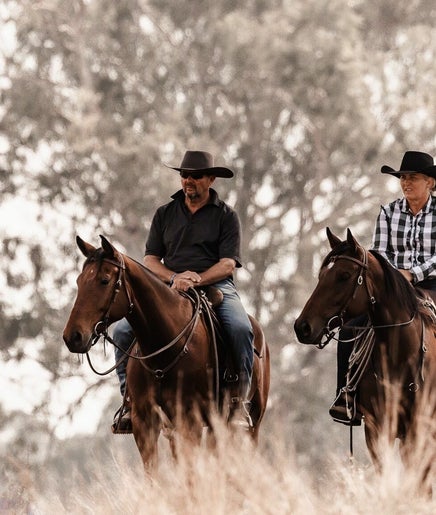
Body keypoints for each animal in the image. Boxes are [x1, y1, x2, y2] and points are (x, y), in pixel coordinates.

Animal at [61, 236, 270, 470]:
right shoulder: (145, 422)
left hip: (249, 424)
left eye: (104, 280)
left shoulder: (190, 419)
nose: (73, 336)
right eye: (79, 281)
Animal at [292, 228, 436, 478]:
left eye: (344, 275)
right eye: (321, 275)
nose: (302, 327)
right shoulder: (377, 430)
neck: (401, 358)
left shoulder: (421, 430)